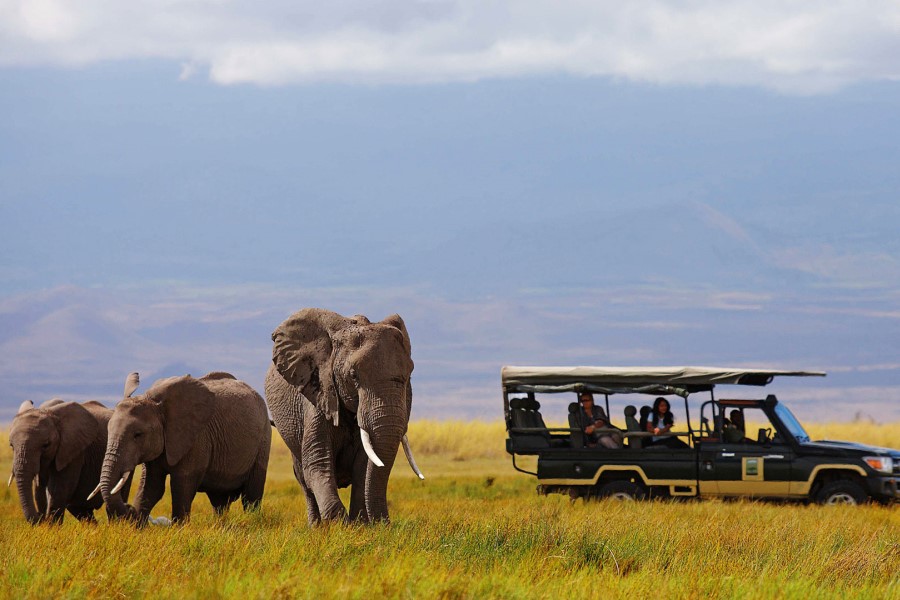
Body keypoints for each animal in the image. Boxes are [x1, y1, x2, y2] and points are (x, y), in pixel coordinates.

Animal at [96, 370, 270, 524]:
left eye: (138, 435)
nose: (128, 508)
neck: (156, 404)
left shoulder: (196, 439)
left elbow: (182, 486)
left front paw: (179, 529)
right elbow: (151, 487)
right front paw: (138, 527)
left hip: (263, 439)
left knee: (251, 495)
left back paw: (251, 521)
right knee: (219, 501)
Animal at [266, 308, 424, 524]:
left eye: (409, 375)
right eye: (353, 375)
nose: (385, 523)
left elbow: (363, 468)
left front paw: (360, 525)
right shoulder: (318, 393)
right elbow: (318, 463)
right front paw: (339, 525)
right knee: (303, 479)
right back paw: (316, 526)